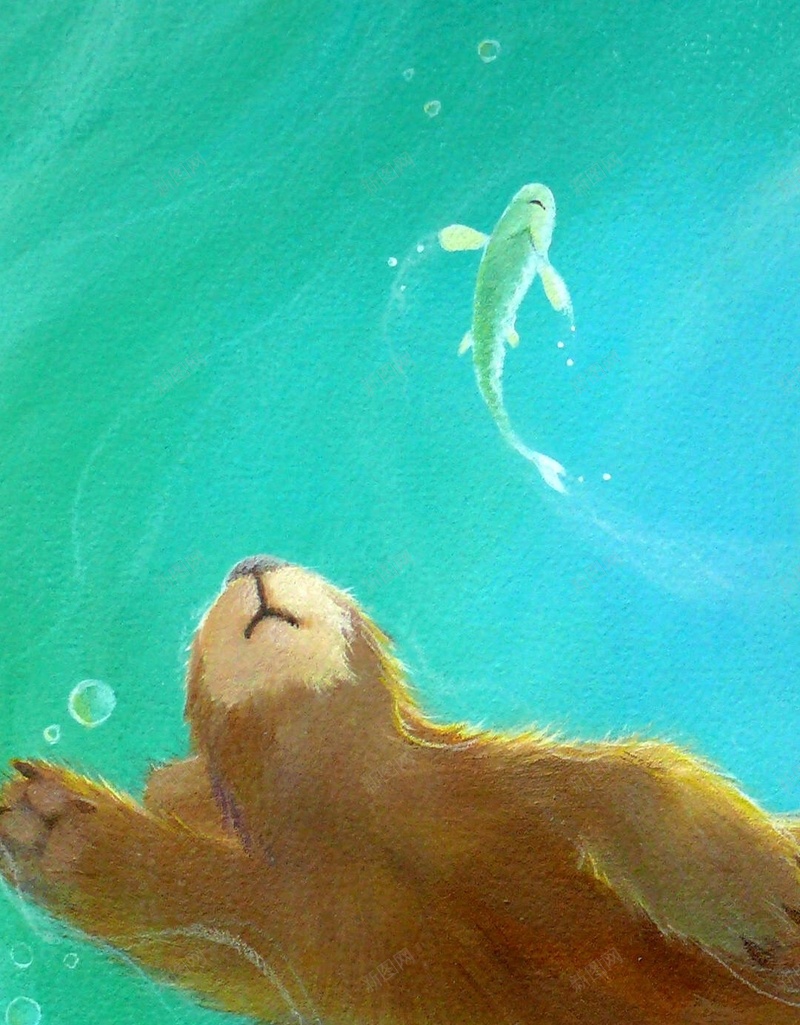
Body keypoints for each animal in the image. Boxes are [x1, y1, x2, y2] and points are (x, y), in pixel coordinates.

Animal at [2, 554, 800, 1024]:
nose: (252, 561)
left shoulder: (504, 786)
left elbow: (640, 770)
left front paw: (756, 889)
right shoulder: (319, 943)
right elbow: (200, 920)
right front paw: (50, 823)